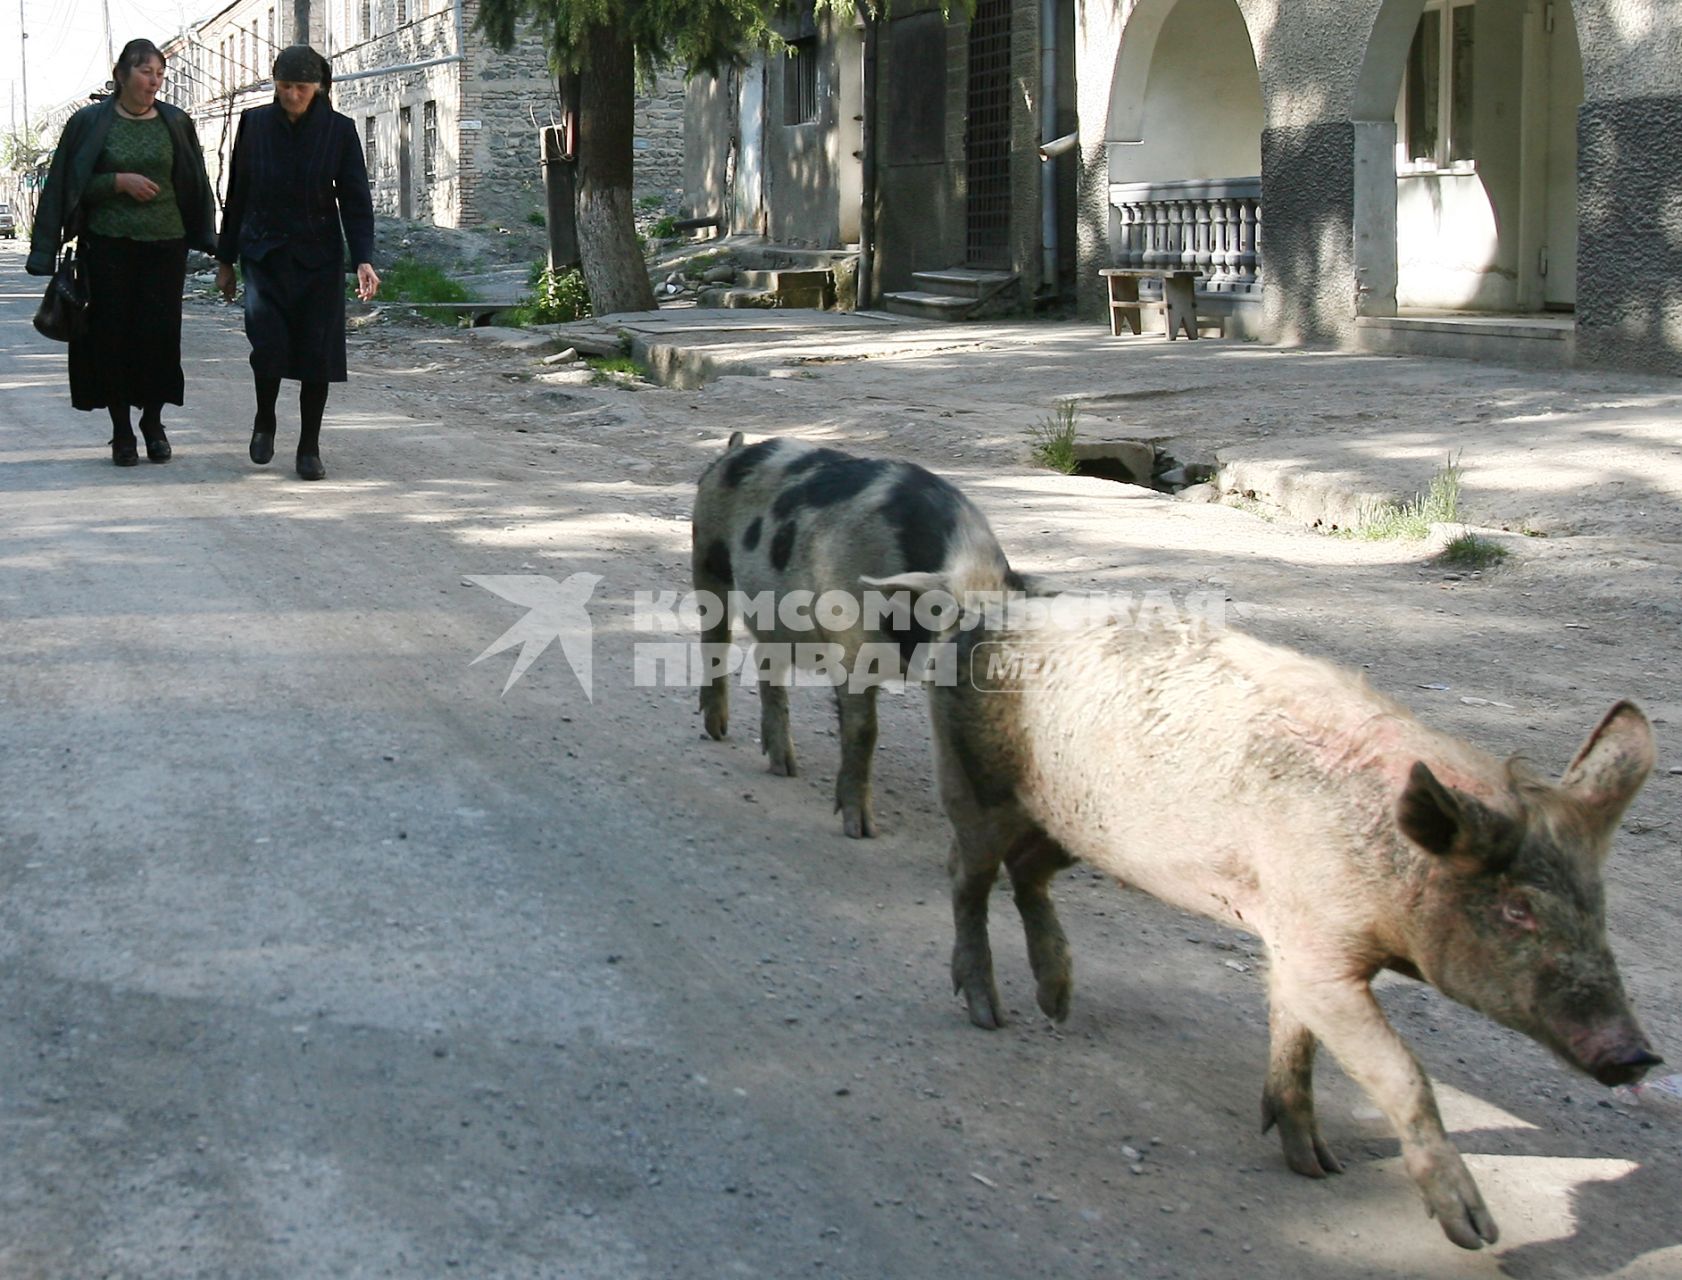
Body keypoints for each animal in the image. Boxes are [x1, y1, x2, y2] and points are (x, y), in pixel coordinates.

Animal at [689, 430, 1661, 1251]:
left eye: (1597, 909)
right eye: (1515, 910)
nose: (1639, 1054)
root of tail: (984, 611)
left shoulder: (1291, 941)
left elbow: (1295, 1040)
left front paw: (1313, 1163)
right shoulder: (1317, 944)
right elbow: (1399, 1074)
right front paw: (1476, 1234)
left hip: (1081, 821)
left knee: (1028, 876)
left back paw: (1059, 1003)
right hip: (972, 780)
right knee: (966, 874)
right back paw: (987, 1007)